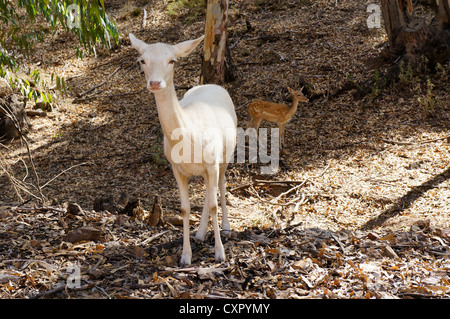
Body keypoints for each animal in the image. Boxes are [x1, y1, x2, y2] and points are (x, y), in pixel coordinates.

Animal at [129, 33, 237, 268]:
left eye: (172, 60)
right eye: (142, 61)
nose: (155, 82)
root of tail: (214, 85)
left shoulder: (212, 162)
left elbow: (214, 204)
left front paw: (220, 253)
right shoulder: (176, 168)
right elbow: (185, 209)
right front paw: (186, 256)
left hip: (226, 155)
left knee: (221, 185)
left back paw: (225, 227)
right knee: (207, 191)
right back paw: (200, 233)